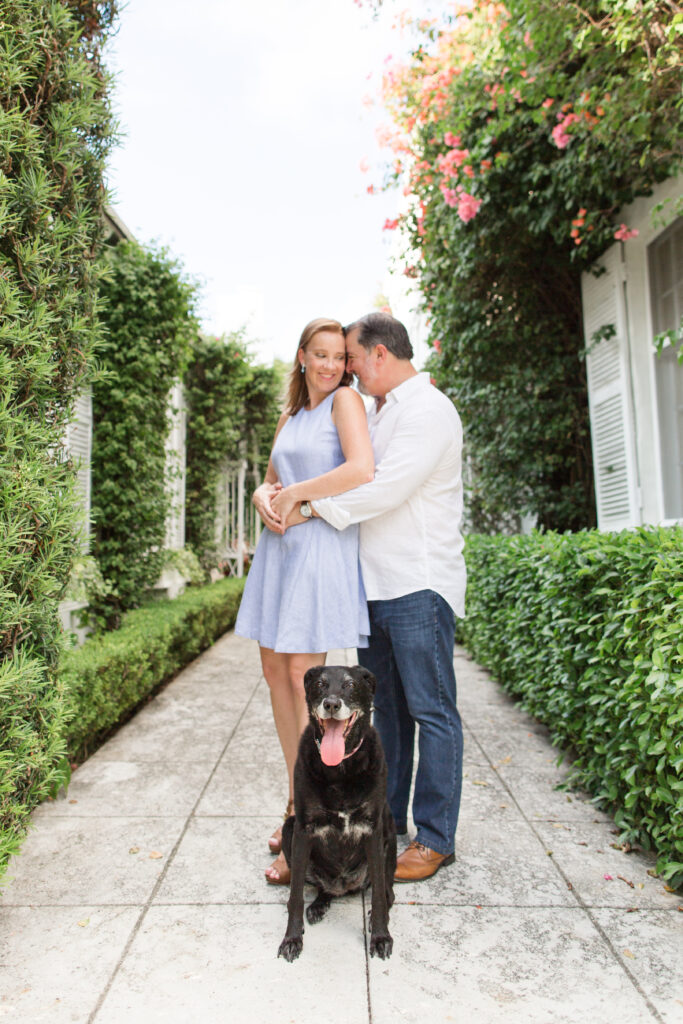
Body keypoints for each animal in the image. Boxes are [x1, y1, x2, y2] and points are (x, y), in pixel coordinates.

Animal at [276, 663, 395, 958]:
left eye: (350, 685)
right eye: (320, 684)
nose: (331, 704)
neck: (340, 767)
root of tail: (345, 886)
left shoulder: (373, 829)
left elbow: (378, 894)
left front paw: (380, 936)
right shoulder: (303, 830)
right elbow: (295, 895)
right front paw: (292, 938)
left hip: (390, 829)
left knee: (387, 891)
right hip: (288, 830)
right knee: (321, 888)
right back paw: (319, 904)